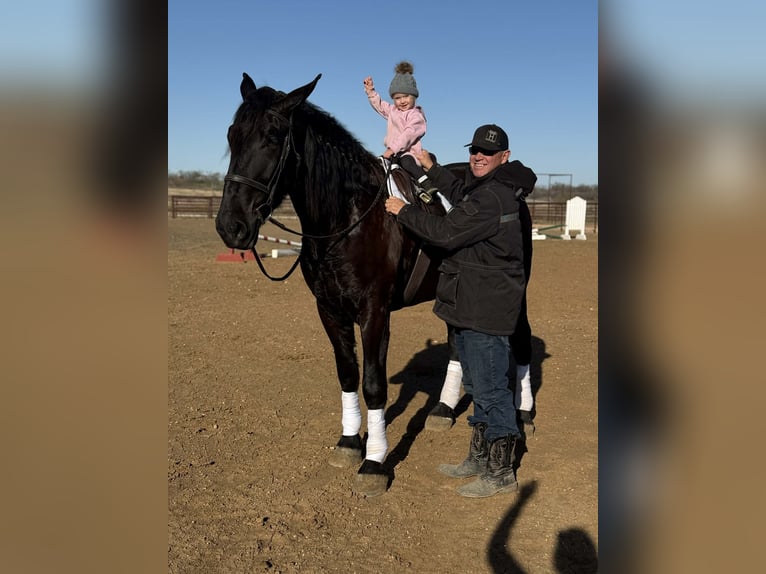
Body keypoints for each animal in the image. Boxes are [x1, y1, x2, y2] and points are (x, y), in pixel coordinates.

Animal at [216, 72, 458, 497]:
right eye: (233, 134)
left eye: (273, 136)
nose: (231, 226)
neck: (348, 219)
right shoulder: (329, 310)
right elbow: (347, 374)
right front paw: (349, 443)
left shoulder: (374, 312)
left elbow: (374, 383)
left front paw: (374, 462)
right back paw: (443, 410)